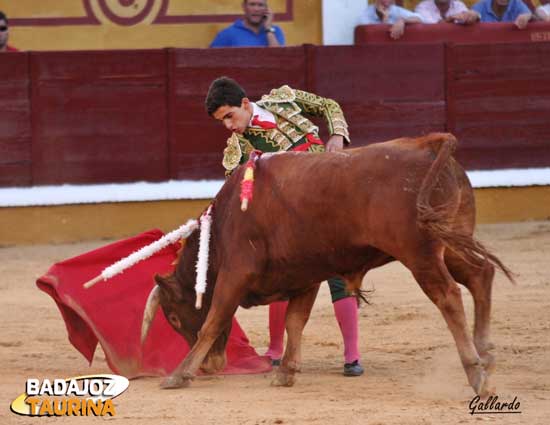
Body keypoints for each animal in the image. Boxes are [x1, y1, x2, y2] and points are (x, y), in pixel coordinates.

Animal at [141, 132, 512, 394]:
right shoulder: (305, 276)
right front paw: (286, 373)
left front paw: (178, 375)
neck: (221, 226)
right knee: (481, 274)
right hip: (450, 241)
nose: (211, 366)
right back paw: (486, 354)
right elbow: (294, 321)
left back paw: (476, 374)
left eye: (173, 316)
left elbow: (213, 320)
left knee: (449, 296)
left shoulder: (237, 272)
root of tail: (429, 145)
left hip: (419, 254)